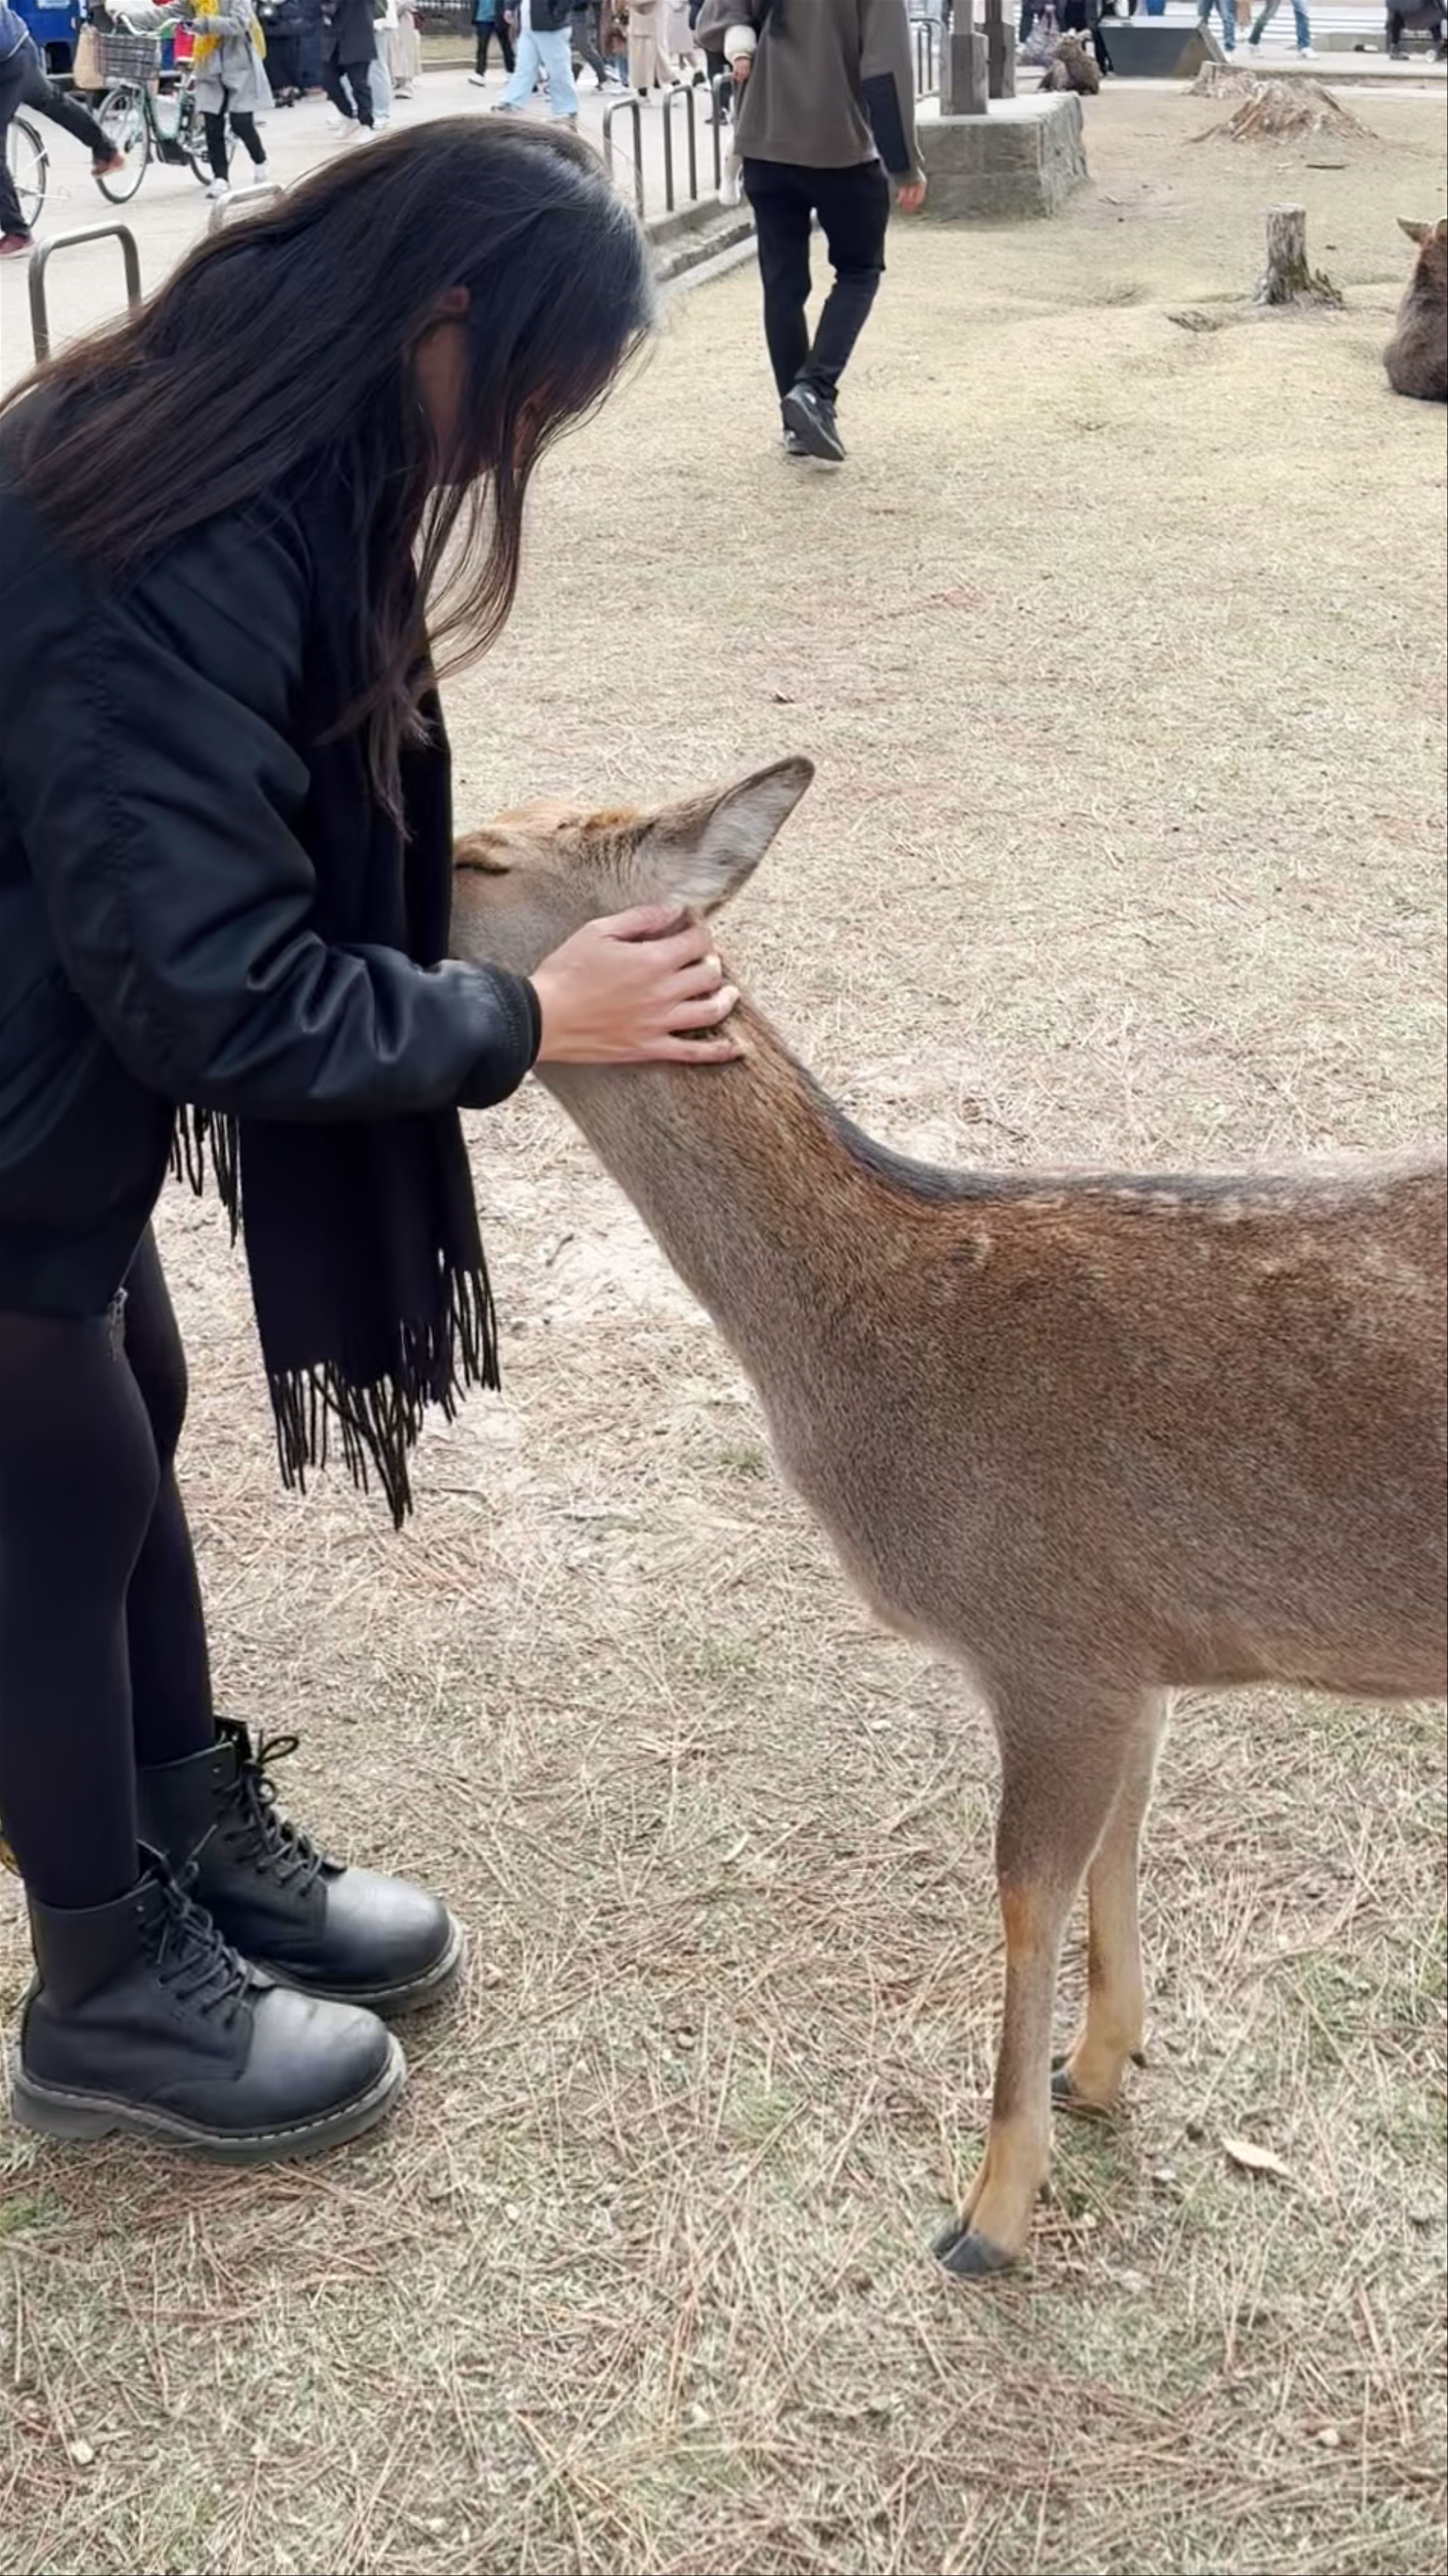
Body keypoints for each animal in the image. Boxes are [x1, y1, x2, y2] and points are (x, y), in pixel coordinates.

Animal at [452, 759, 1448, 2280]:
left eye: (481, 856)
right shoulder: (1132, 1652)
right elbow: (1122, 1841)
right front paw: (1099, 2070)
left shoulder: (1048, 1638)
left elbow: (1023, 1889)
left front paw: (989, 2214)